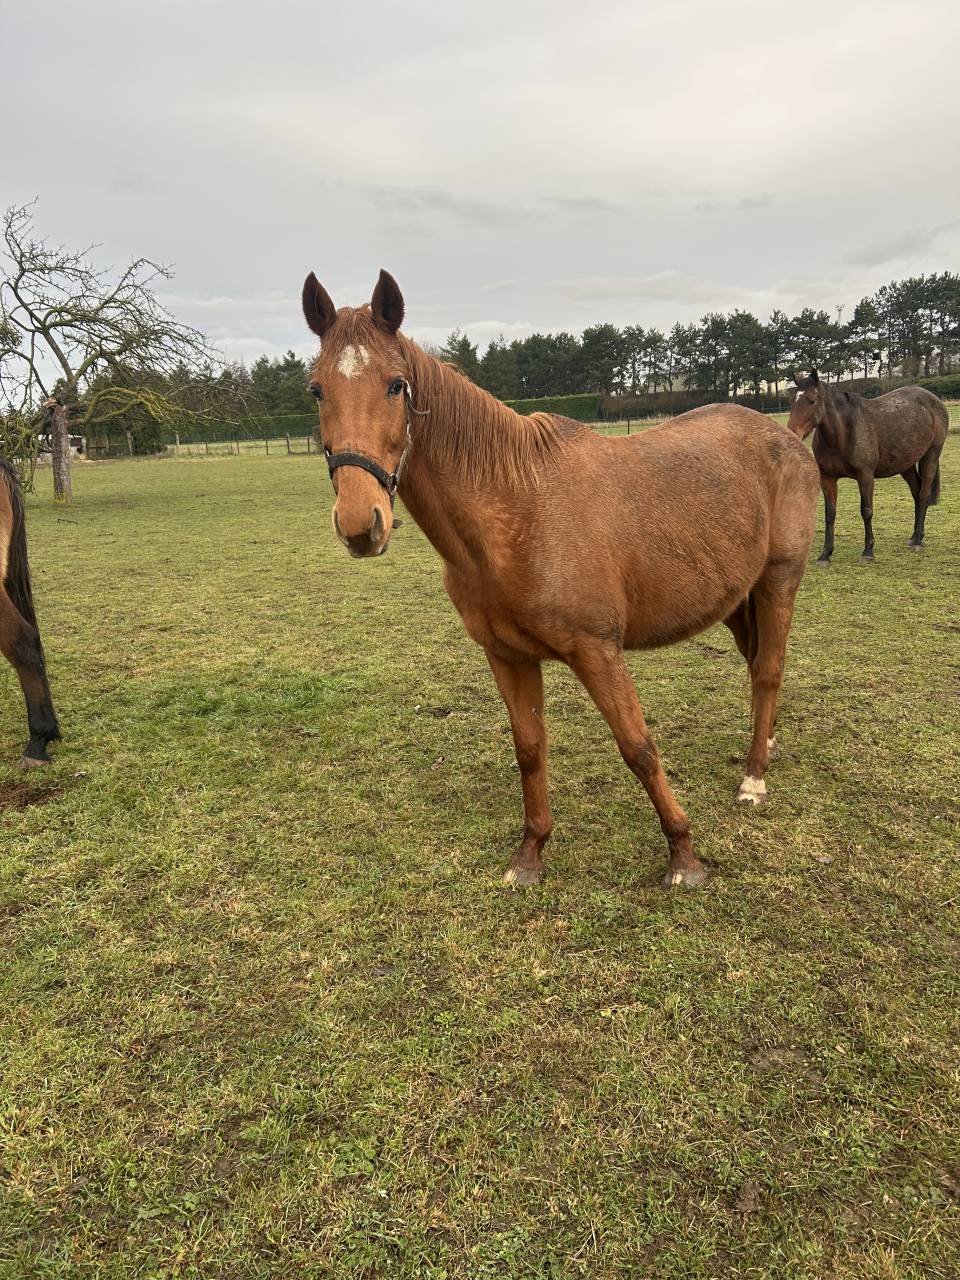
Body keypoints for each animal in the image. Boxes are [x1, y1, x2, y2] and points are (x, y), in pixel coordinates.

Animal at [302, 270, 820, 889]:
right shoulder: (508, 656)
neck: (515, 508)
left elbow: (638, 747)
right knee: (757, 667)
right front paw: (531, 853)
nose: (361, 525)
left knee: (768, 671)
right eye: (316, 390)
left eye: (396, 385)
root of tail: (785, 437)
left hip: (777, 583)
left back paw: (754, 778)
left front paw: (684, 857)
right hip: (736, 599)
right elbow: (530, 749)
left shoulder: (597, 650)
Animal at [787, 371, 948, 564]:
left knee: (923, 495)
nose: (791, 433)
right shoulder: (827, 478)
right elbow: (830, 514)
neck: (843, 434)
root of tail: (934, 400)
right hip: (906, 465)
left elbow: (866, 511)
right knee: (917, 494)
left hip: (931, 456)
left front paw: (868, 551)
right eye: (792, 401)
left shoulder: (865, 476)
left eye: (811, 400)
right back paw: (916, 536)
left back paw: (916, 542)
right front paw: (825, 554)